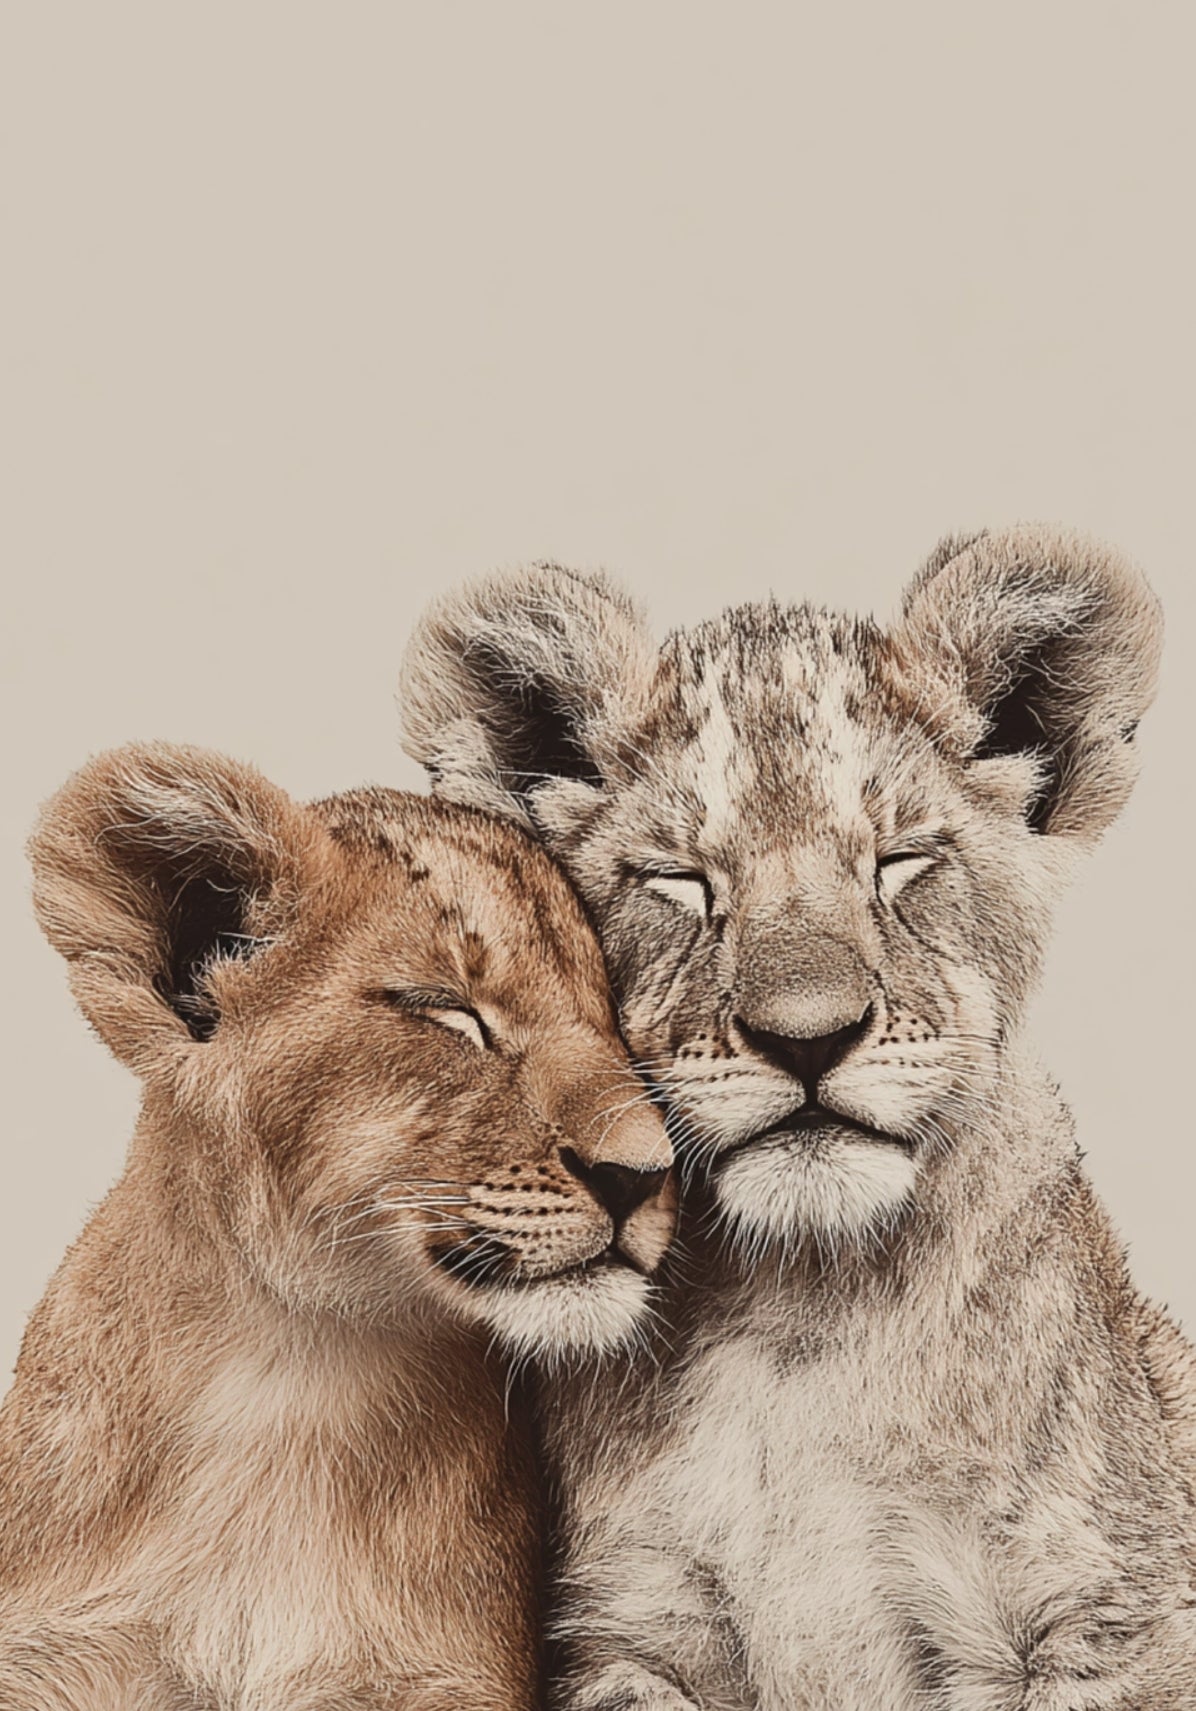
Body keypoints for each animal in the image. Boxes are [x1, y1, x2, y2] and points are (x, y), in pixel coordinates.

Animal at [402, 526, 1196, 1710]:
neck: (801, 1313)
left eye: (901, 862)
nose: (808, 1038)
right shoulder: (623, 1630)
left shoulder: (1109, 1612)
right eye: (680, 881)